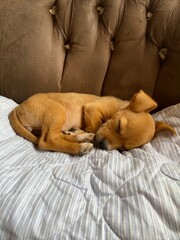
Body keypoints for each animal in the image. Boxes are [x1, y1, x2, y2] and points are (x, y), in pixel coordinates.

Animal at [9, 90, 175, 156]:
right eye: (118, 125)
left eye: (123, 148)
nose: (103, 146)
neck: (117, 107)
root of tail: (17, 108)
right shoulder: (91, 109)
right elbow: (95, 127)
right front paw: (86, 132)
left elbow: (93, 130)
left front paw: (80, 133)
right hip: (58, 111)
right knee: (46, 140)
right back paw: (80, 146)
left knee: (55, 136)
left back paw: (80, 138)